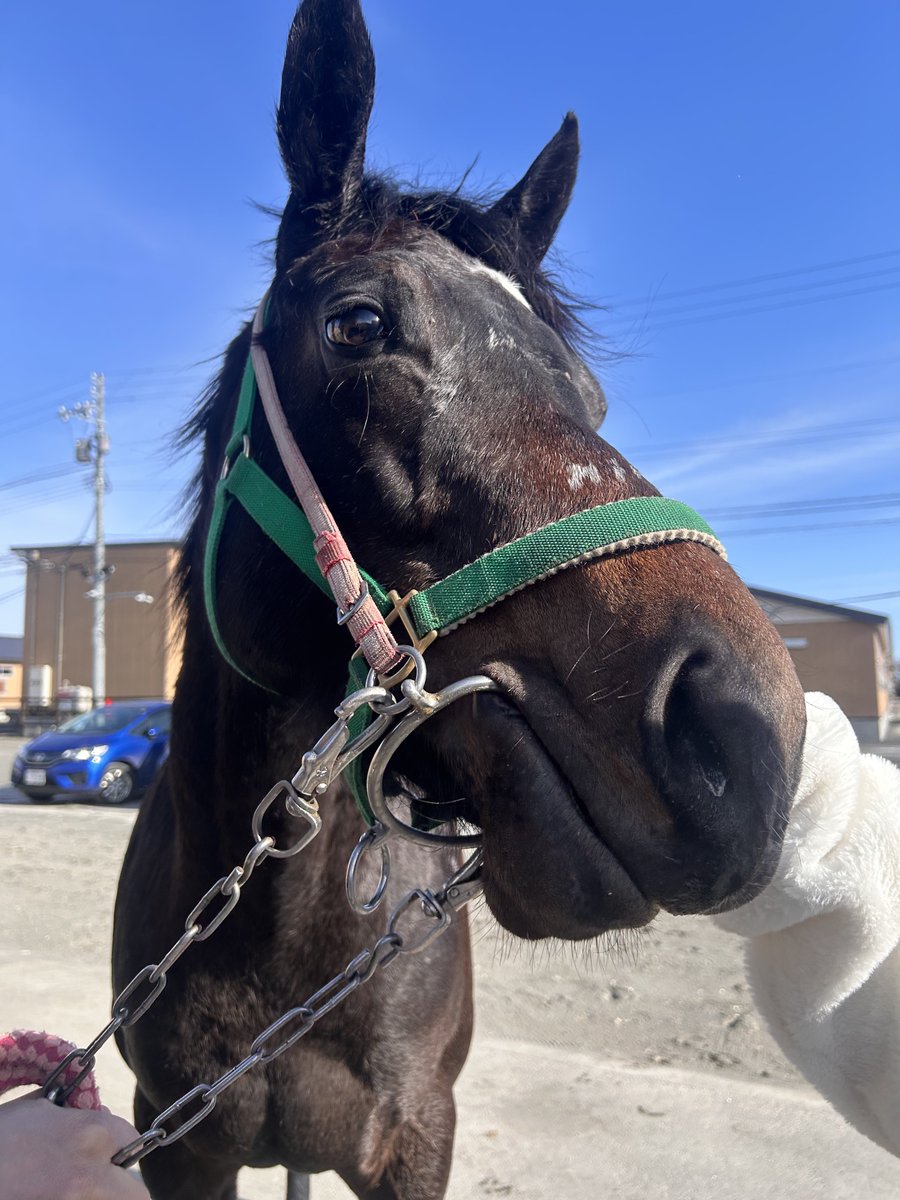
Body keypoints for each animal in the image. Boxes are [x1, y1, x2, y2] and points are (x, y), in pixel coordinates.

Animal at [112, 1, 806, 1197]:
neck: (280, 942)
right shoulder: (174, 1140)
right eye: (357, 325)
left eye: (591, 393)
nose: (748, 735)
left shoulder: (415, 1137)